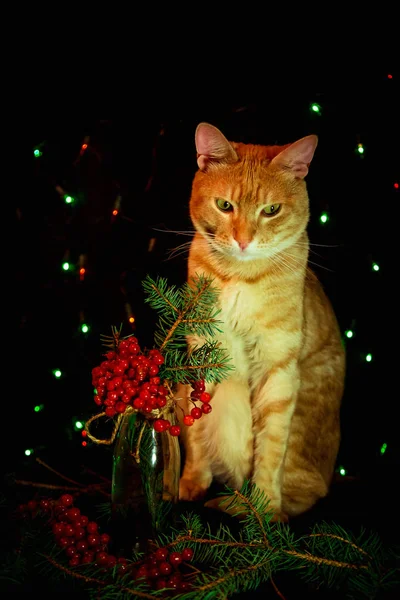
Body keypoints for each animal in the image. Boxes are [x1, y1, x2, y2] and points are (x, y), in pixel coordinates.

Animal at [177, 120, 346, 520]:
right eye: (225, 205)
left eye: (271, 210)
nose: (243, 240)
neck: (241, 276)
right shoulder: (201, 357)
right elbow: (197, 431)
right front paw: (191, 483)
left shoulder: (278, 370)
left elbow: (270, 451)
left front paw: (264, 510)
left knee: (303, 492)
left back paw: (243, 505)